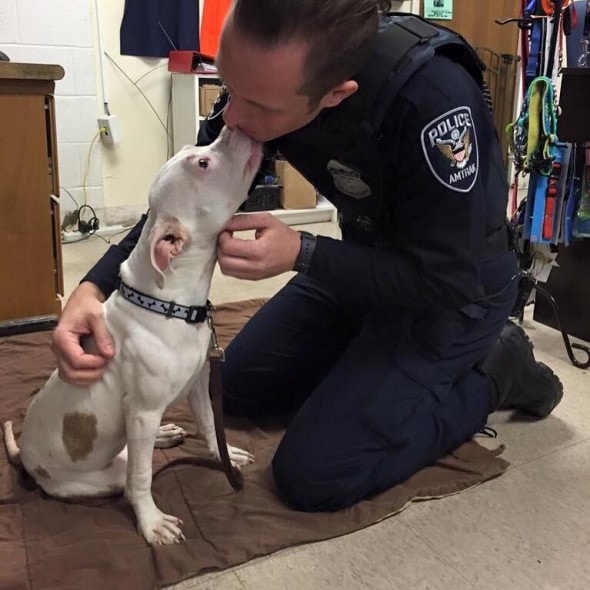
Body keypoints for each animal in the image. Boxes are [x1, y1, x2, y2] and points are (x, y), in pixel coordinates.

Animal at [2, 127, 262, 548]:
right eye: (203, 162)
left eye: (197, 151)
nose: (232, 127)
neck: (168, 304)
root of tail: (24, 458)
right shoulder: (142, 412)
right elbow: (141, 479)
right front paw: (152, 522)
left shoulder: (198, 384)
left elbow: (210, 423)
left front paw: (223, 454)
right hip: (106, 469)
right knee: (131, 470)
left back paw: (166, 435)